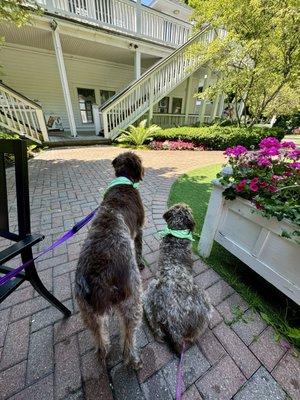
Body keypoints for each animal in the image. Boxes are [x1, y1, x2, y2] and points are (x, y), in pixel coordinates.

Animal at [75, 152, 145, 368]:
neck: (122, 181)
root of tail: (98, 276)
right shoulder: (139, 230)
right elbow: (139, 249)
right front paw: (142, 263)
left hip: (88, 312)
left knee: (99, 337)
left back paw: (103, 352)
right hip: (133, 300)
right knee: (129, 336)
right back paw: (133, 360)